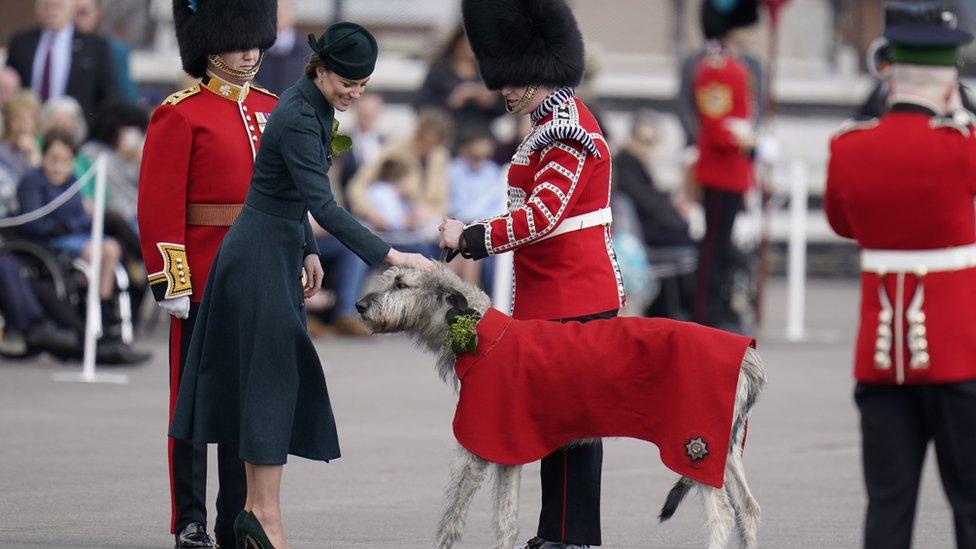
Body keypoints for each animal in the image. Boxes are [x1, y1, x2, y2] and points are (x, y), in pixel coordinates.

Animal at [354, 264, 768, 544]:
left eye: (402, 283)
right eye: (388, 279)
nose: (359, 304)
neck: (478, 335)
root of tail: (748, 355)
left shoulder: (475, 447)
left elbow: (450, 520)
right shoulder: (507, 449)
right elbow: (506, 521)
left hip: (694, 447)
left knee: (722, 517)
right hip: (724, 449)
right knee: (747, 509)